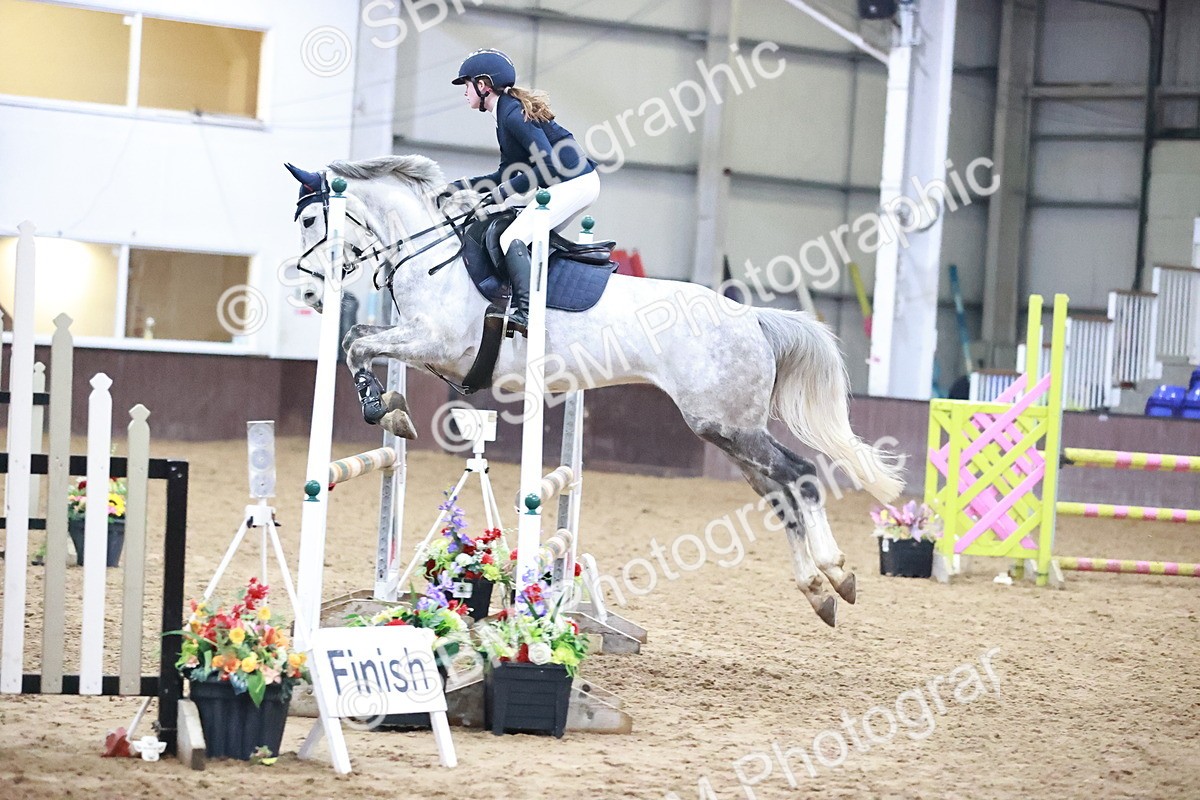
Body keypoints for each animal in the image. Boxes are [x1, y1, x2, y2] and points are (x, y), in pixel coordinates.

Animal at [287, 155, 904, 626]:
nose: (312, 294)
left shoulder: (434, 342)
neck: (432, 255)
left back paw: (837, 573)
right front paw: (394, 410)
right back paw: (820, 590)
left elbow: (356, 345)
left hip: (727, 424)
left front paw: (382, 409)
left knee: (800, 475)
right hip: (728, 431)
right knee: (780, 492)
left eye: (314, 219)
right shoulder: (417, 341)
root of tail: (751, 317)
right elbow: (359, 339)